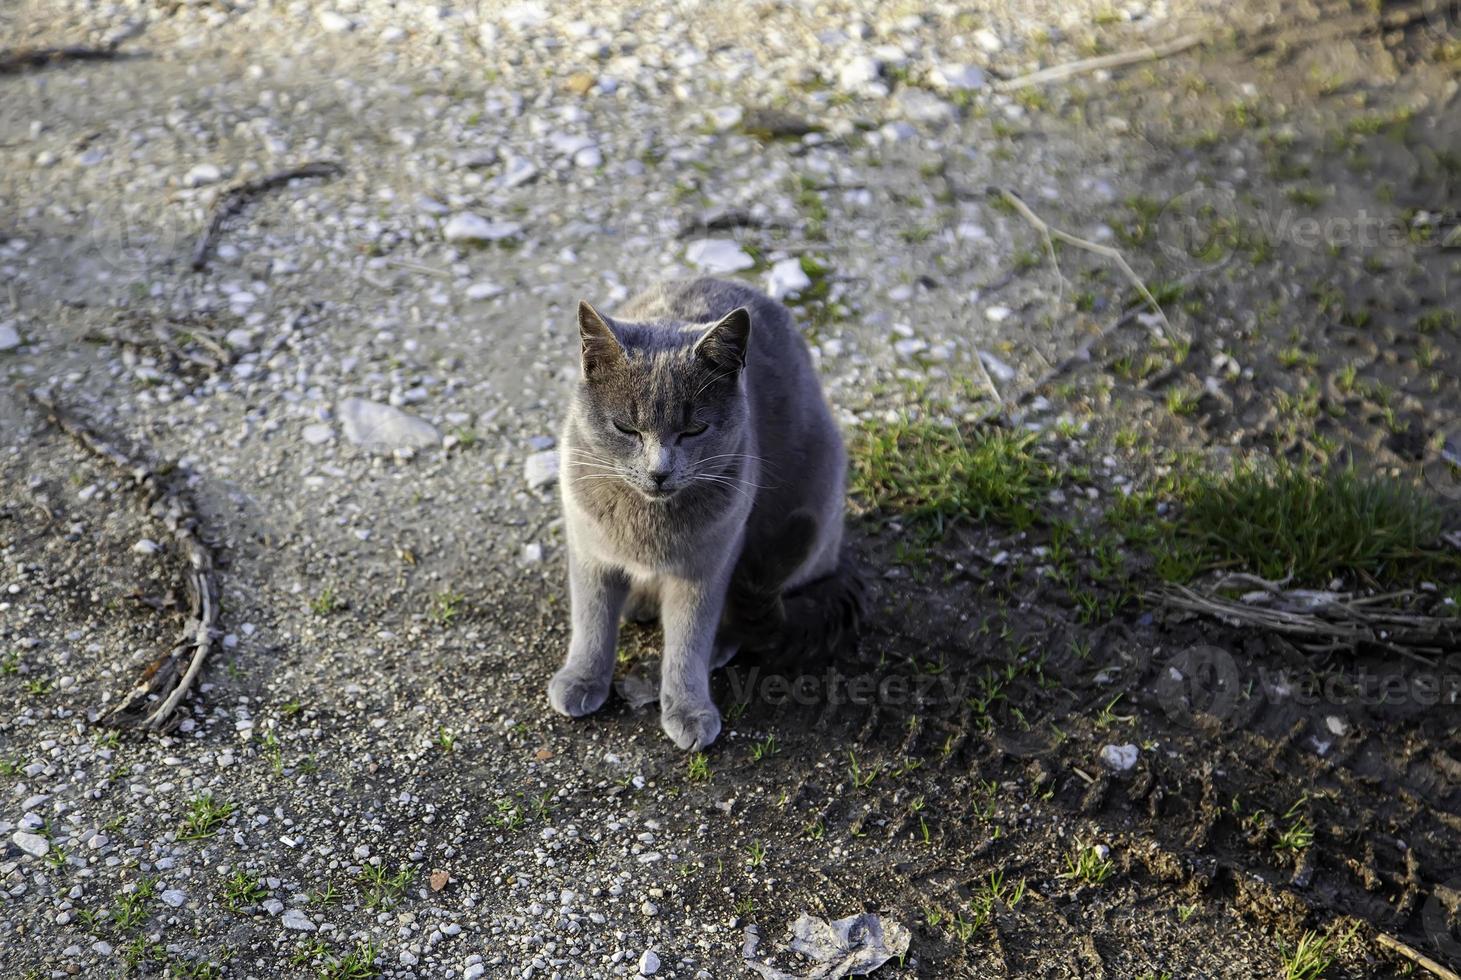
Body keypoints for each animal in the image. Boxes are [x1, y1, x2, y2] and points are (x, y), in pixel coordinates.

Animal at [549, 276, 847, 753]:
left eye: (694, 430)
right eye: (625, 428)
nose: (659, 471)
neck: (646, 522)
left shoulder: (705, 566)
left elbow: (689, 639)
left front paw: (689, 710)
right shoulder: (590, 548)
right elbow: (591, 618)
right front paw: (582, 679)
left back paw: (719, 645)